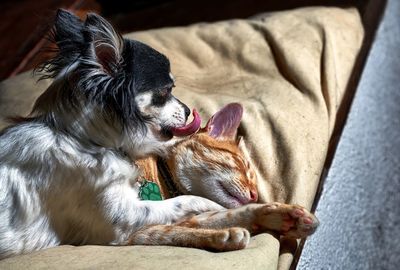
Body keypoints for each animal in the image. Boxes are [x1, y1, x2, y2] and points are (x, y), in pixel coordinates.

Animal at [132, 103, 318, 251]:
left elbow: (226, 215)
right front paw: (221, 236)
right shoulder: (131, 228)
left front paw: (283, 216)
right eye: (242, 165)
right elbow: (171, 232)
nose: (255, 195)